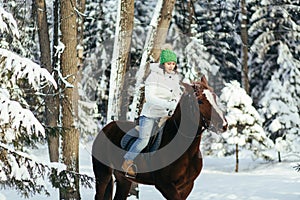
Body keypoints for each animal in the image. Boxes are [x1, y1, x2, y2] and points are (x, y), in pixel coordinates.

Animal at [91, 75, 227, 200]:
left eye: (214, 97)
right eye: (200, 101)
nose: (224, 125)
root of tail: (106, 128)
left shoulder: (187, 186)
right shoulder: (165, 185)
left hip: (123, 179)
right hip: (102, 174)